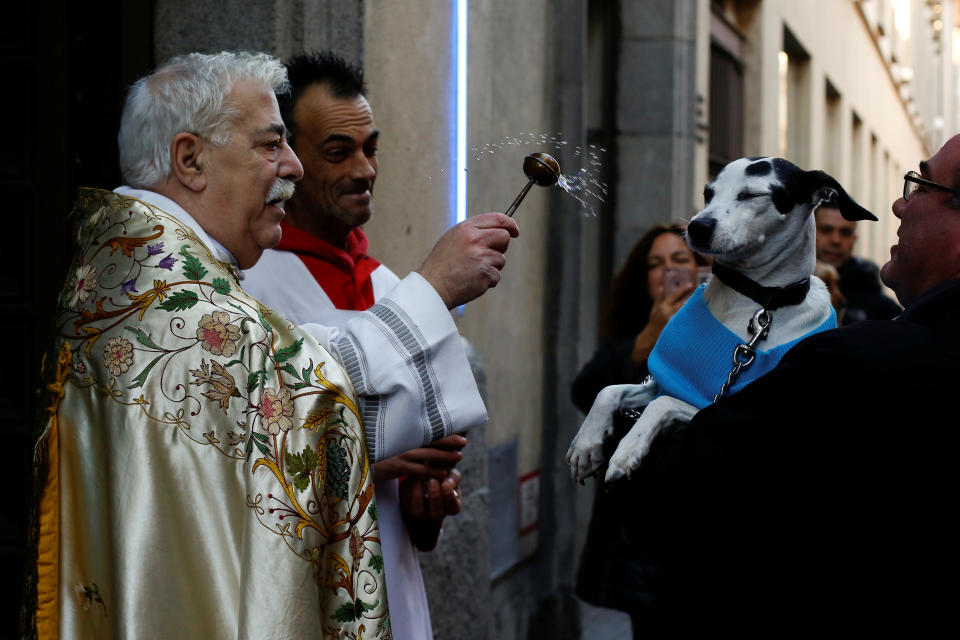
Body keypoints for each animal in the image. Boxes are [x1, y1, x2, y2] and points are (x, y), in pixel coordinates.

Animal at [568, 158, 872, 482]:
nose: (696, 226)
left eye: (752, 195)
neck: (755, 301)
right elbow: (609, 390)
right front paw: (586, 443)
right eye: (708, 193)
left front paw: (628, 449)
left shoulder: (712, 405)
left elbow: (661, 404)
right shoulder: (666, 381)